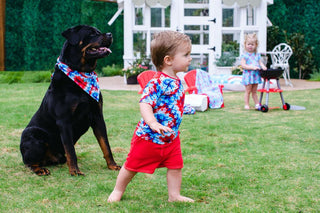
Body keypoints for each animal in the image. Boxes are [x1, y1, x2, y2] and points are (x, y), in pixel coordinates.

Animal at [20, 25, 120, 176]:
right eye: (92, 34)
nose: (110, 34)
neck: (81, 72)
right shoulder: (64, 121)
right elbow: (71, 151)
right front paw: (75, 171)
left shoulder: (97, 116)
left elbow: (105, 145)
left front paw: (112, 165)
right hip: (32, 133)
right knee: (30, 162)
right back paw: (40, 169)